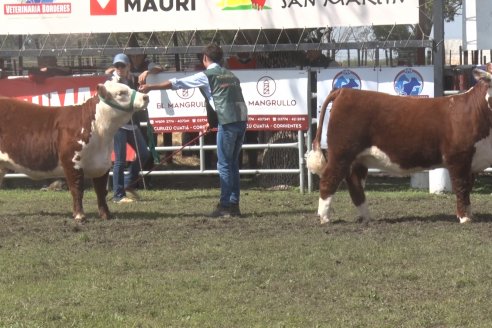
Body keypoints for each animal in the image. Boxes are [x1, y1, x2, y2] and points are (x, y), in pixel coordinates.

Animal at [0, 80, 149, 222]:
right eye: (121, 92)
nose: (146, 97)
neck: (99, 132)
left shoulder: (103, 165)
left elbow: (101, 192)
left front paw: (106, 215)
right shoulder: (71, 162)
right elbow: (77, 189)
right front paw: (79, 215)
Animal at [306, 68, 492, 224]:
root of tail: (344, 91)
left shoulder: (472, 161)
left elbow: (468, 188)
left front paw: (470, 215)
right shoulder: (458, 157)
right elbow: (461, 187)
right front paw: (464, 218)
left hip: (359, 158)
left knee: (355, 184)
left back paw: (366, 217)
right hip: (341, 153)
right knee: (329, 179)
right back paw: (324, 218)